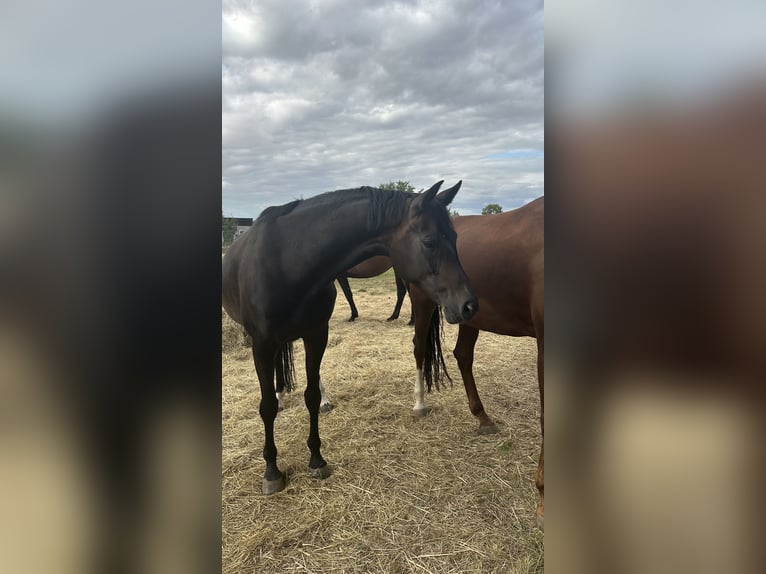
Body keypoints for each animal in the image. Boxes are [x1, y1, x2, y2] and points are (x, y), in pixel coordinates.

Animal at [222, 181, 478, 495]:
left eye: (454, 237)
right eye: (429, 241)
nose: (469, 305)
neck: (288, 260)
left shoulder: (316, 334)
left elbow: (310, 395)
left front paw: (316, 459)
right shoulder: (261, 343)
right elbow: (266, 406)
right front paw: (271, 471)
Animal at [408, 197, 544, 528]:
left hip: (469, 315)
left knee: (462, 355)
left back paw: (482, 417)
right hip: (423, 303)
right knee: (420, 349)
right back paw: (419, 405)